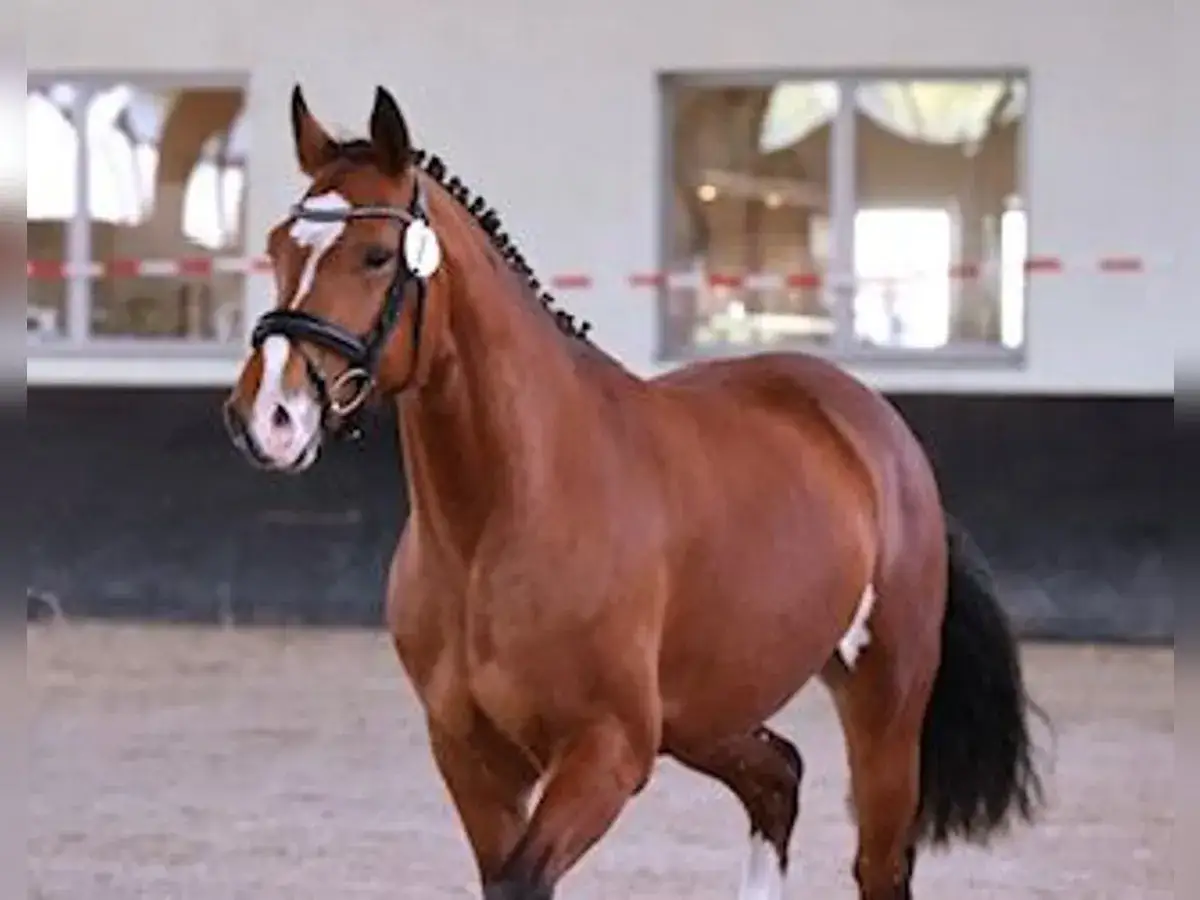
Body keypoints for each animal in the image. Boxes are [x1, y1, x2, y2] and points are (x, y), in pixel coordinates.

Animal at [222, 84, 1046, 899]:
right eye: (277, 246)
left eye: (374, 255)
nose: (267, 417)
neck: (502, 517)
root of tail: (880, 432)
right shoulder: (470, 757)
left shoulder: (607, 752)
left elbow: (523, 880)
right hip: (707, 711)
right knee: (776, 780)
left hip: (883, 705)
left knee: (876, 860)